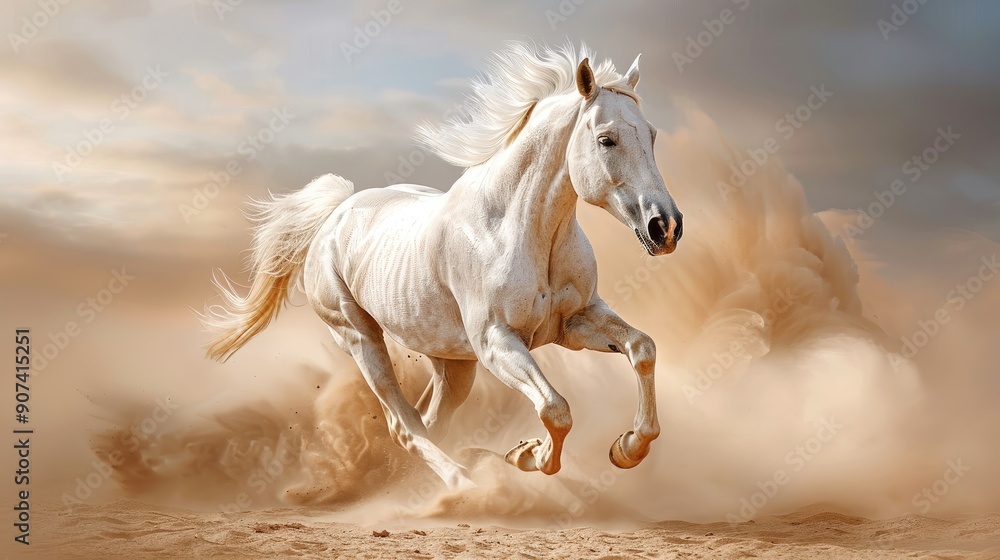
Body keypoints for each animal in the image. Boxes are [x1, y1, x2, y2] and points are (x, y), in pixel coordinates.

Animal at [202, 43, 683, 490]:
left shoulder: (576, 322)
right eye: (606, 139)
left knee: (430, 420)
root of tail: (335, 214)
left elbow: (643, 348)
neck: (520, 230)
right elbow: (555, 408)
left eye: (652, 134)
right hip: (360, 338)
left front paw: (626, 448)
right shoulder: (497, 342)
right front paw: (528, 455)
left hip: (452, 363)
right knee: (405, 426)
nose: (665, 226)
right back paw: (462, 484)